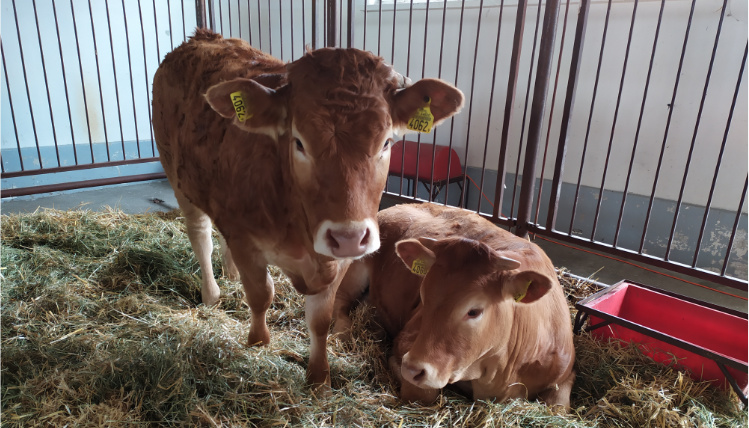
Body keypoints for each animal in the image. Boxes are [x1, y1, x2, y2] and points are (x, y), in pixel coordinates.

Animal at [151, 28, 462, 386]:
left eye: (386, 142)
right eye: (298, 142)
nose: (348, 238)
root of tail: (203, 36)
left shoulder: (337, 260)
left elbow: (320, 320)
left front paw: (319, 376)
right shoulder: (246, 241)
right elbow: (261, 295)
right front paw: (258, 342)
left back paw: (229, 275)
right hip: (177, 176)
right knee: (200, 236)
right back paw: (212, 294)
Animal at [332, 202, 572, 406]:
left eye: (474, 311)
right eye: (423, 296)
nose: (411, 369)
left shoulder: (566, 375)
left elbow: (558, 406)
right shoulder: (408, 342)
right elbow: (425, 393)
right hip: (354, 269)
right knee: (339, 302)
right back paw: (343, 333)